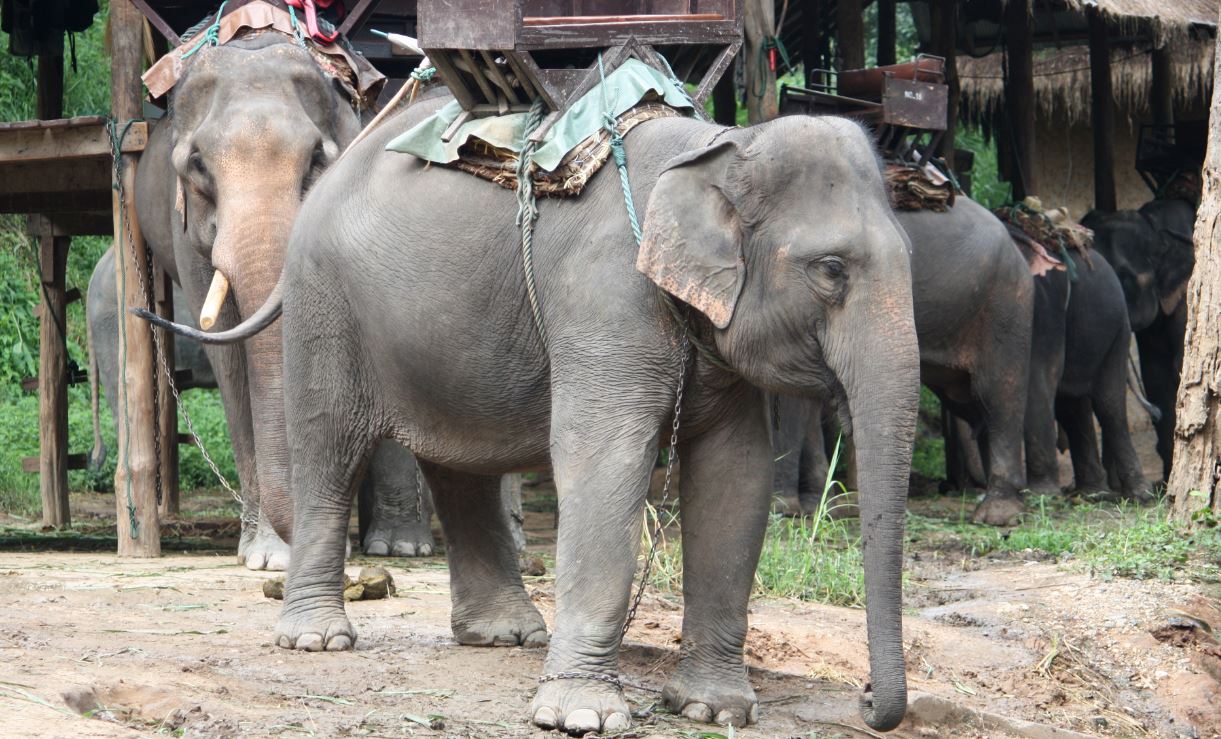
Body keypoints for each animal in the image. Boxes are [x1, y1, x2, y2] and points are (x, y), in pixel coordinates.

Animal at [132, 30, 433, 568]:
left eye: (317, 158)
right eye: (197, 164)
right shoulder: (186, 233)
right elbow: (229, 358)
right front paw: (270, 558)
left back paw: (398, 546)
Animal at [148, 97, 921, 733]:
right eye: (830, 270)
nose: (863, 700)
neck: (718, 145)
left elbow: (736, 477)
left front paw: (713, 709)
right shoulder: (604, 296)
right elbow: (602, 460)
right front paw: (581, 716)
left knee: (456, 463)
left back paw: (502, 634)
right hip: (324, 301)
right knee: (329, 451)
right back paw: (317, 638)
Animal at [1085, 198, 1195, 481]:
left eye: (1125, 280)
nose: (1153, 414)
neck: (1156, 226)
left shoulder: (1186, 299)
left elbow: (1179, 367)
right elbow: (1155, 375)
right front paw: (1166, 480)